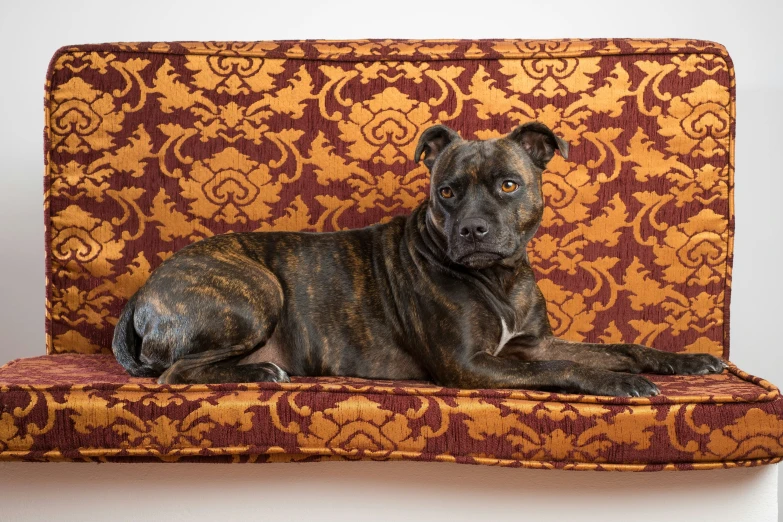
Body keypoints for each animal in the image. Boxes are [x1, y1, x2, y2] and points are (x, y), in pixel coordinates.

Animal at [113, 122, 724, 394]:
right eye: (447, 192)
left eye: (508, 184)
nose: (474, 229)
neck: (498, 278)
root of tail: (142, 293)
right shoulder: (472, 365)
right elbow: (563, 368)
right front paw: (618, 384)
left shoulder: (531, 344)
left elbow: (621, 347)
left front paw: (687, 361)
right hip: (258, 289)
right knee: (176, 373)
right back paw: (261, 370)